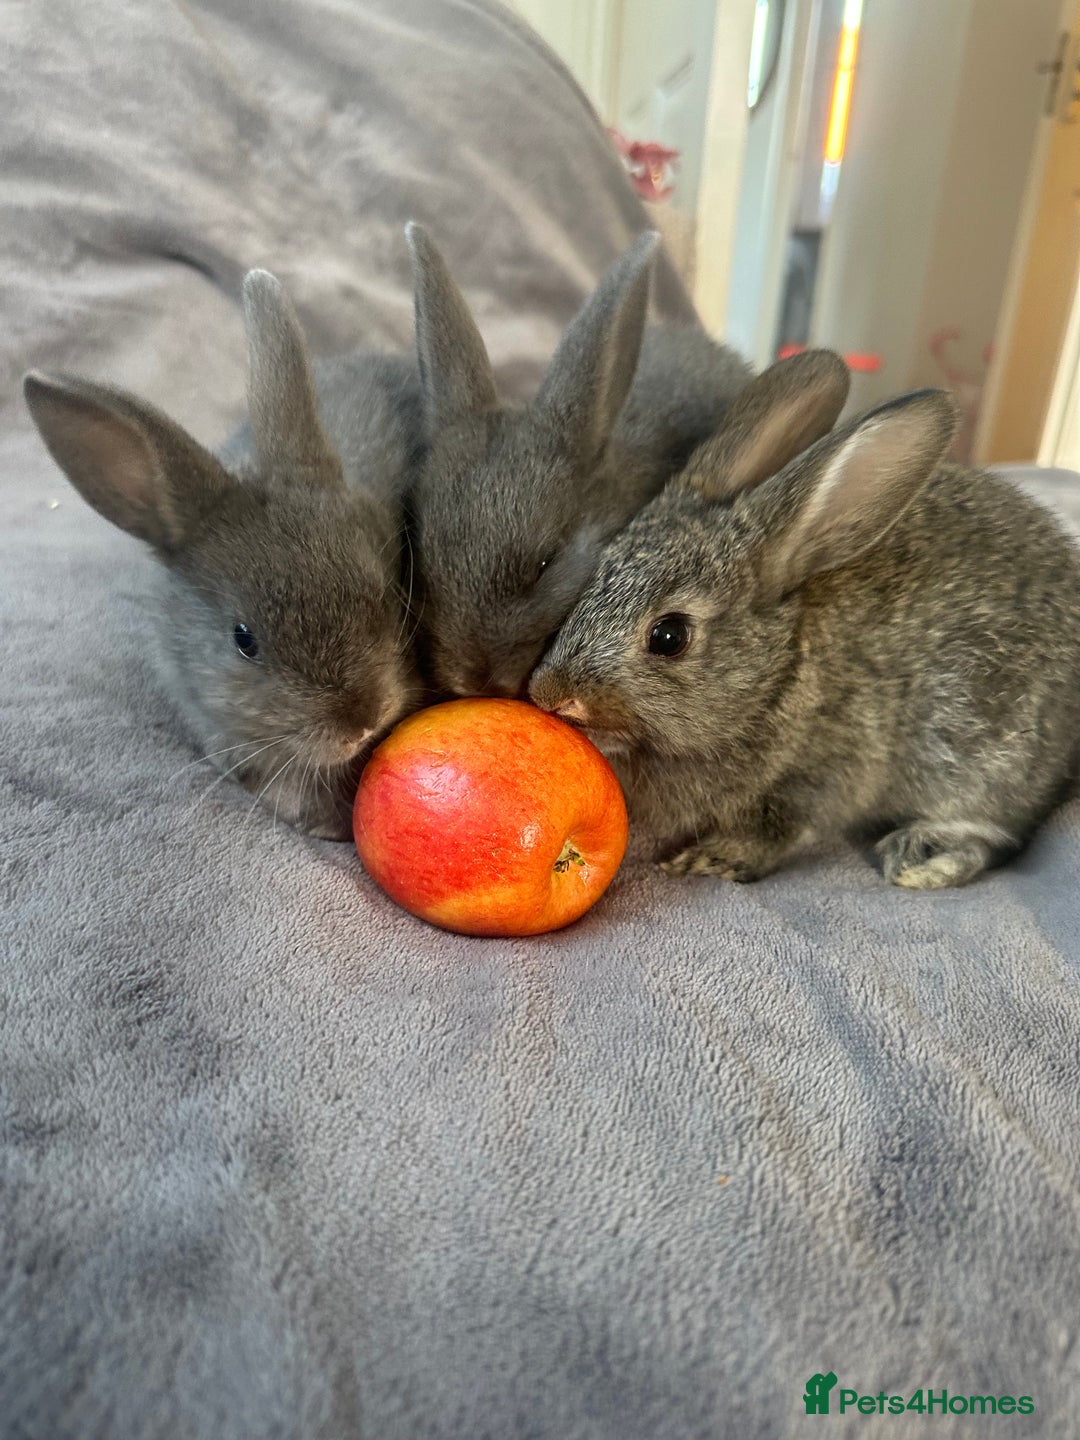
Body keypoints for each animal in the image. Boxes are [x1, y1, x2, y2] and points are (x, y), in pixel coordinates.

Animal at [529, 348, 1080, 889]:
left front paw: (712, 859)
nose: (551, 693)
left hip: (983, 755)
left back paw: (922, 859)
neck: (778, 675)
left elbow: (779, 826)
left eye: (669, 635)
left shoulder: (826, 769)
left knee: (996, 832)